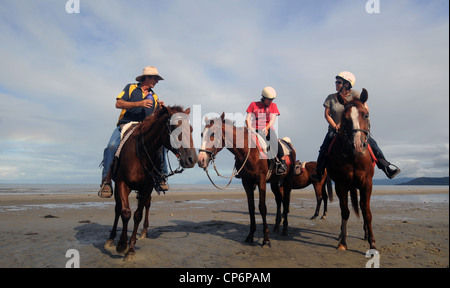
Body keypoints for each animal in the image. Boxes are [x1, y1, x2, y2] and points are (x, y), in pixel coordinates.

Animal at [105, 104, 199, 260]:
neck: (141, 153)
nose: (192, 159)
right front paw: (122, 244)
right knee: (118, 209)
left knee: (146, 205)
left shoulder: (147, 186)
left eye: (190, 129)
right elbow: (125, 212)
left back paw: (143, 232)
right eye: (175, 127)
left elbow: (138, 215)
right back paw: (111, 238)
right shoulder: (122, 183)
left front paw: (131, 249)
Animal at [199, 113, 298, 246]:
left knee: (286, 201)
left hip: (287, 180)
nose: (201, 160)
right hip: (274, 182)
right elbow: (251, 208)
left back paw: (285, 229)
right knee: (279, 200)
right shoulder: (246, 182)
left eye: (213, 134)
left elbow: (262, 207)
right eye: (201, 134)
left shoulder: (261, 181)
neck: (249, 151)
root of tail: (290, 146)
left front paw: (266, 239)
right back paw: (277, 226)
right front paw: (250, 235)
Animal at [326, 89, 378, 251]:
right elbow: (345, 211)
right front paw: (343, 241)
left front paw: (372, 244)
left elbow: (367, 212)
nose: (357, 145)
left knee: (362, 207)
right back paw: (342, 234)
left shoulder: (367, 183)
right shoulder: (341, 184)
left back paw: (366, 234)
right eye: (344, 118)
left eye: (366, 115)